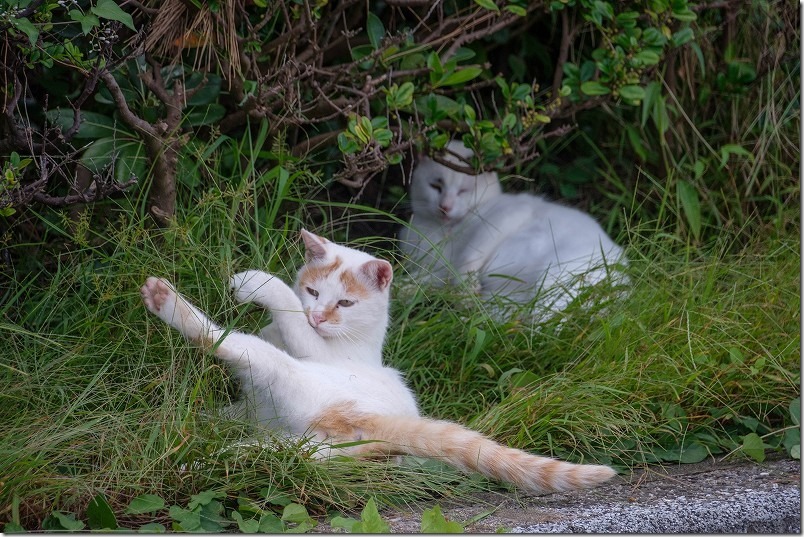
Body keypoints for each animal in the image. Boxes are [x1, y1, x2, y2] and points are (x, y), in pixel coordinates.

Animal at [140, 228, 616, 492]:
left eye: (345, 303)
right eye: (314, 291)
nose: (318, 315)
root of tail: (384, 424)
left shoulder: (316, 348)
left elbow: (284, 309)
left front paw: (256, 283)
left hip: (291, 381)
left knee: (223, 342)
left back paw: (164, 300)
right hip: (294, 446)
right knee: (244, 450)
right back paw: (188, 455)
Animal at [400, 140, 628, 320]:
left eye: (463, 190)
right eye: (435, 186)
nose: (444, 207)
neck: (444, 231)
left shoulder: (507, 216)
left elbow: (467, 259)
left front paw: (465, 291)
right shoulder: (434, 270)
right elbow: (421, 281)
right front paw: (405, 290)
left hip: (554, 278)